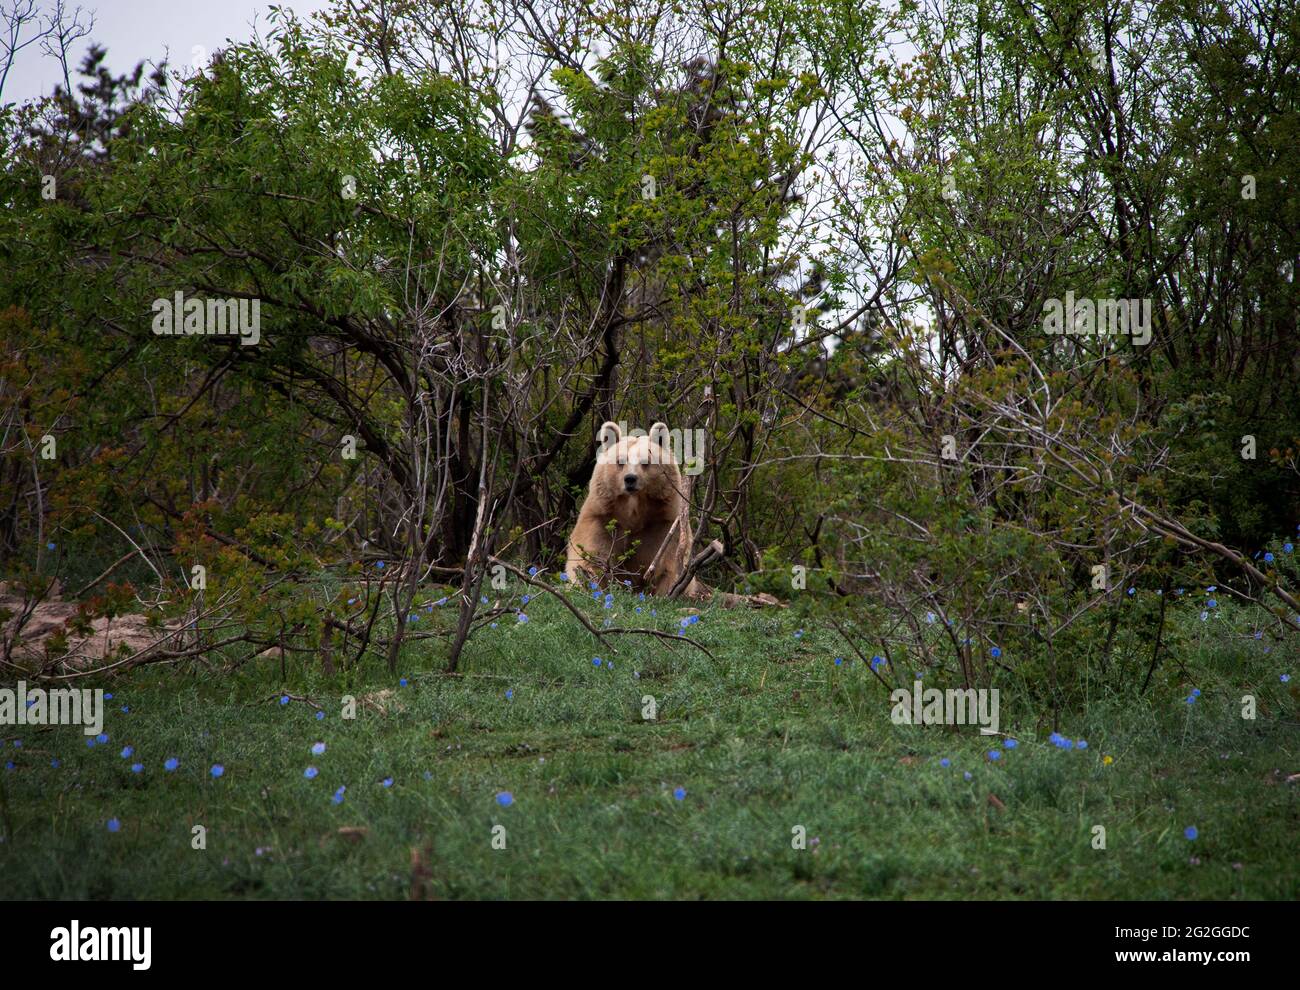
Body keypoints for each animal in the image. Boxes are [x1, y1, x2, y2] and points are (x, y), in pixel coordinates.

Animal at [566, 415, 707, 595]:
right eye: (620, 461)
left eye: (646, 462)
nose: (630, 479)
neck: (634, 510)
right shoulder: (602, 519)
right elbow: (590, 553)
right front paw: (586, 581)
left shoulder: (664, 525)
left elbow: (668, 564)